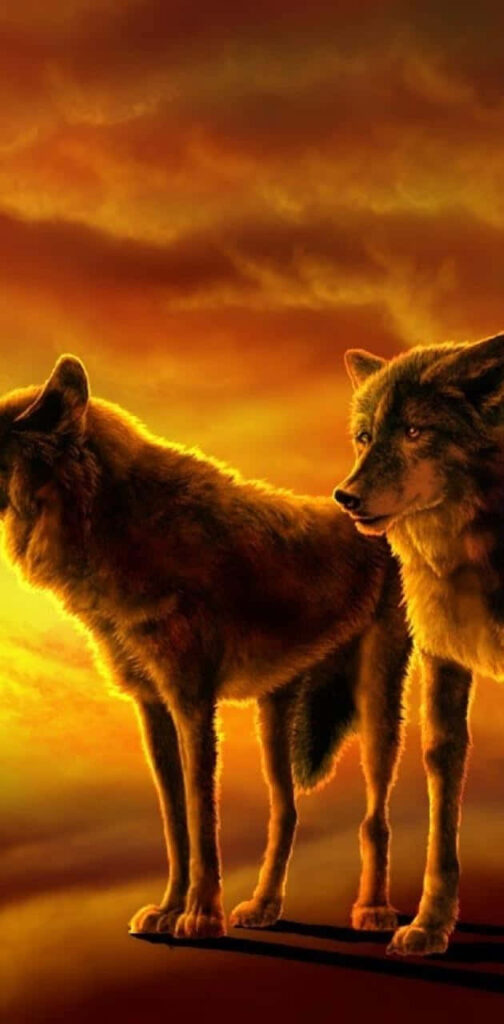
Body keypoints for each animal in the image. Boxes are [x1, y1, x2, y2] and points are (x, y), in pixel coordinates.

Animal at [0, 354, 409, 939]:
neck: (111, 523)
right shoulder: (152, 707)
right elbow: (175, 822)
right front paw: (169, 908)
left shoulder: (192, 703)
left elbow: (200, 814)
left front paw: (199, 915)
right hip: (273, 715)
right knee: (287, 811)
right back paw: (263, 907)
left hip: (378, 703)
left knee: (375, 815)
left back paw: (372, 911)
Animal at [334, 332, 504, 955]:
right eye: (364, 437)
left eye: (414, 431)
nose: (346, 496)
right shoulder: (443, 659)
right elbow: (442, 788)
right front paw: (430, 924)